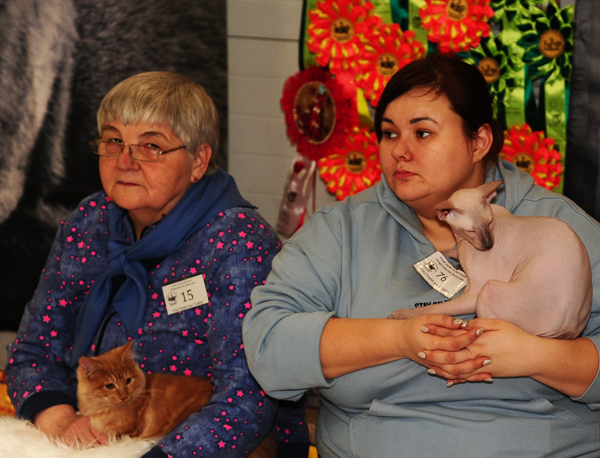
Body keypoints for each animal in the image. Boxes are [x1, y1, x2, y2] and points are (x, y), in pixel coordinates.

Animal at [388, 180, 592, 339]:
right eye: (471, 230)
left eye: (489, 222)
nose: (489, 245)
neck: (464, 241)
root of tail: (565, 332)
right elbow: (453, 251)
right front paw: (449, 252)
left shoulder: (472, 295)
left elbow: (432, 309)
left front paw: (400, 315)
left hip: (488, 288)